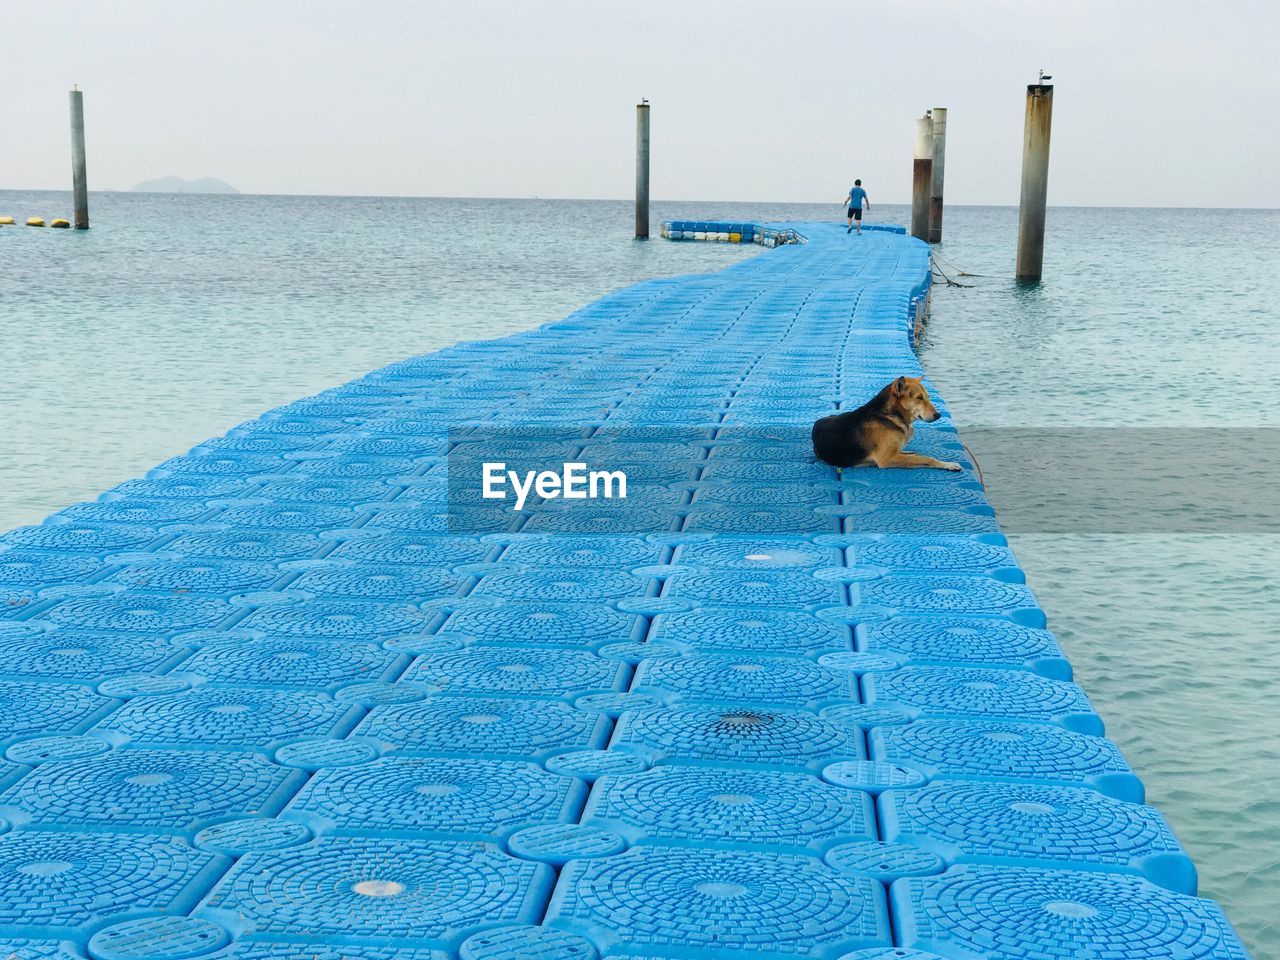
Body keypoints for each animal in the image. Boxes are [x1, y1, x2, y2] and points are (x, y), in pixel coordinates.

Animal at [808, 378, 962, 478]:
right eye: (919, 398)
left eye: (928, 397)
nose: (939, 415)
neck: (889, 415)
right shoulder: (887, 459)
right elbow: (927, 459)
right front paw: (949, 464)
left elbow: (918, 457)